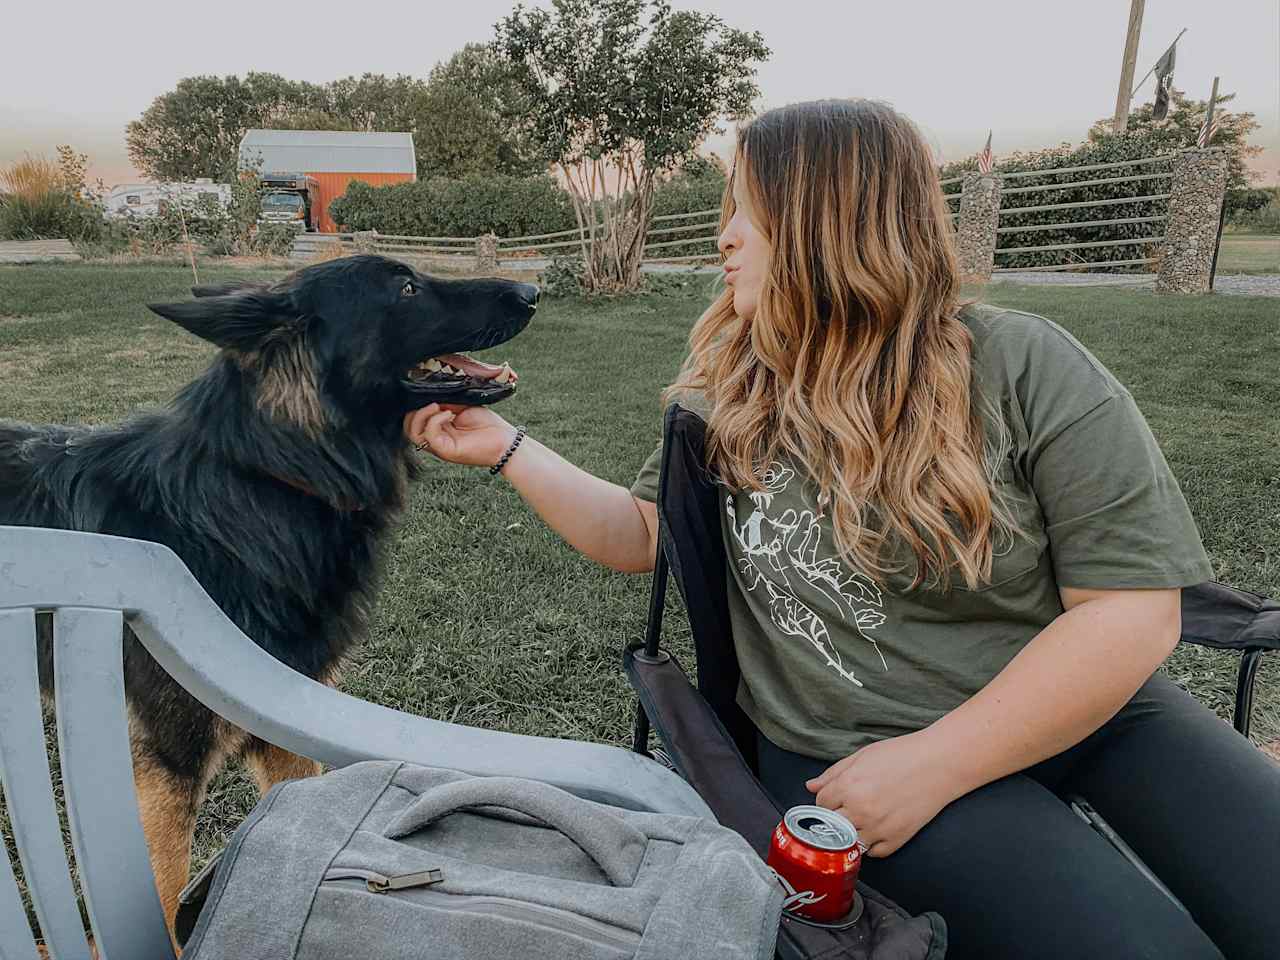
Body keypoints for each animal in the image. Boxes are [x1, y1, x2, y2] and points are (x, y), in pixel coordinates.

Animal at [0, 252, 537, 926]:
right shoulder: (167, 757)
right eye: (407, 288)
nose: (532, 290)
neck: (268, 479)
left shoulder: (284, 710)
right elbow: (164, 897)